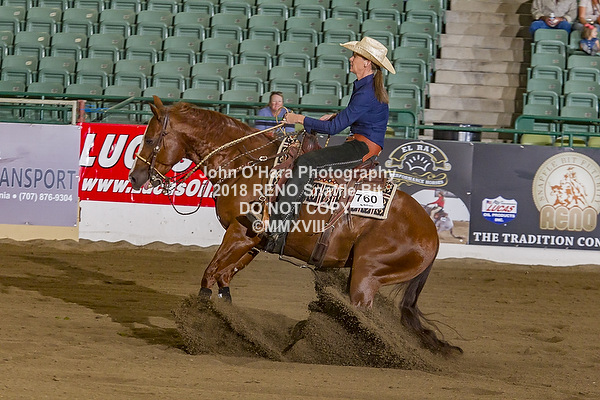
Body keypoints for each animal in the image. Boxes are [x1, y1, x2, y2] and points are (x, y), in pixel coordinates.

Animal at [128, 96, 461, 355]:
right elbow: (223, 278)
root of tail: (432, 234)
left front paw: (199, 325)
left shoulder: (240, 233)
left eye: (149, 139)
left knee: (363, 319)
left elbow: (209, 276)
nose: (135, 177)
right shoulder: (253, 241)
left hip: (366, 275)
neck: (247, 165)